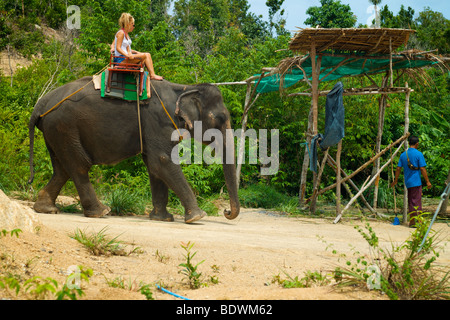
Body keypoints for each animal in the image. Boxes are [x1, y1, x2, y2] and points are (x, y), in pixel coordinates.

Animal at [27, 76, 239, 224]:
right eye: (220, 119)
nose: (226, 212)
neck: (184, 87)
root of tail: (40, 105)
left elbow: (154, 166)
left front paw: (162, 219)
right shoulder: (157, 120)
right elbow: (161, 160)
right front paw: (197, 217)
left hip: (55, 130)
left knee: (62, 168)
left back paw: (46, 209)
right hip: (64, 126)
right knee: (79, 166)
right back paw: (101, 212)